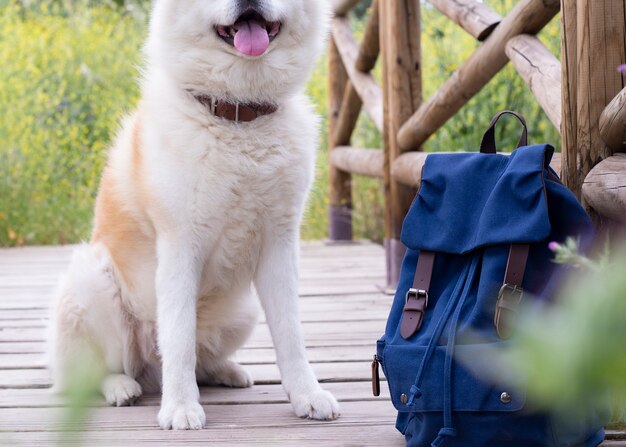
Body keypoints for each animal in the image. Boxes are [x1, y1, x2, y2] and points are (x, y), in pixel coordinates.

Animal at [47, 0, 338, 430]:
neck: (237, 113)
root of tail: (148, 372)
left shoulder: (280, 245)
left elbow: (291, 335)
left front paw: (308, 396)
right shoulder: (181, 246)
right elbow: (179, 337)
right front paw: (181, 407)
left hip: (244, 310)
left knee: (203, 359)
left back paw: (227, 371)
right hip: (91, 280)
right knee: (98, 372)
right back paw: (122, 387)